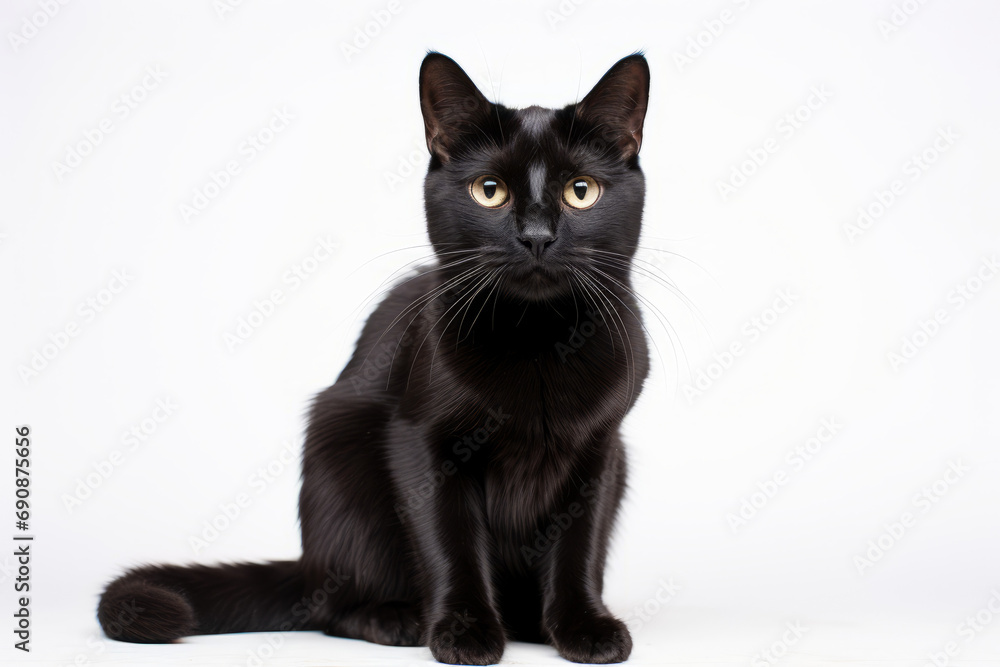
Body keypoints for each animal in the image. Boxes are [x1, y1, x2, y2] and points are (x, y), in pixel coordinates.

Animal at [99, 53, 648, 667]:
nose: (536, 237)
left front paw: (584, 627)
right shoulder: (420, 442)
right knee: (332, 606)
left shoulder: (600, 451)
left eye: (581, 191)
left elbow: (579, 549)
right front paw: (464, 632)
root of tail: (309, 565)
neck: (537, 340)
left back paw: (528, 622)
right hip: (337, 446)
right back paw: (398, 619)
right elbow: (450, 542)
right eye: (489, 191)